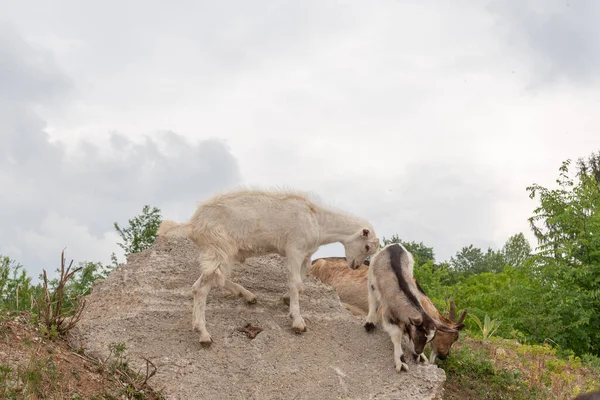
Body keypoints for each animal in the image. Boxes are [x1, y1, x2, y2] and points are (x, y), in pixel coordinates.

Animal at [156, 189, 380, 346]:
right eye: (367, 246)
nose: (355, 266)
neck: (317, 219)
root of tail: (193, 224)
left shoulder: (306, 255)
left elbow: (301, 279)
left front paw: (286, 299)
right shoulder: (294, 249)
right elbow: (295, 282)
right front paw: (297, 321)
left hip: (224, 252)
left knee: (216, 279)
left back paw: (247, 295)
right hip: (219, 247)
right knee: (201, 287)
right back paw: (203, 334)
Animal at [364, 244, 458, 372]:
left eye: (430, 339)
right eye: (419, 335)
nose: (418, 351)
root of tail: (395, 245)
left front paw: (420, 357)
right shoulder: (388, 315)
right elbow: (397, 334)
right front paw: (401, 362)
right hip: (372, 277)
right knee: (373, 299)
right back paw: (369, 323)